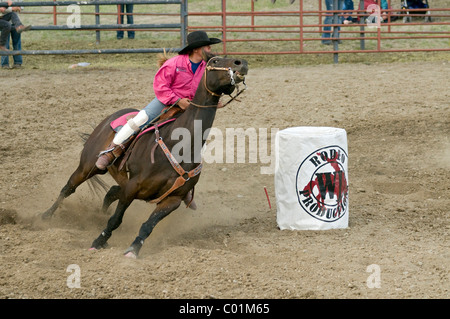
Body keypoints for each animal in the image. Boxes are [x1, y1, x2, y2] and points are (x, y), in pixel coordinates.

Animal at [40, 56, 248, 258]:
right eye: (215, 61)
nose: (241, 63)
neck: (179, 144)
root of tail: (110, 118)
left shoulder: (173, 199)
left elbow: (148, 226)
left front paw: (133, 250)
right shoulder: (132, 187)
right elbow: (116, 219)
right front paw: (97, 242)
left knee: (111, 192)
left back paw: (98, 216)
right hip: (88, 166)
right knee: (68, 188)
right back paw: (45, 217)